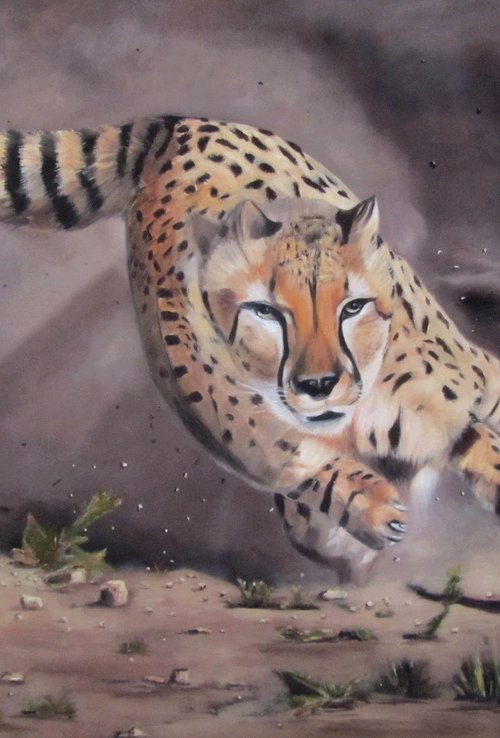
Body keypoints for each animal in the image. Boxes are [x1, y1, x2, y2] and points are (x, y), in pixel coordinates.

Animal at [1, 114, 499, 569]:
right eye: (266, 312)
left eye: (352, 307)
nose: (319, 385)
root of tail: (181, 124)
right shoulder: (257, 439)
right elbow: (306, 472)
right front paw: (367, 507)